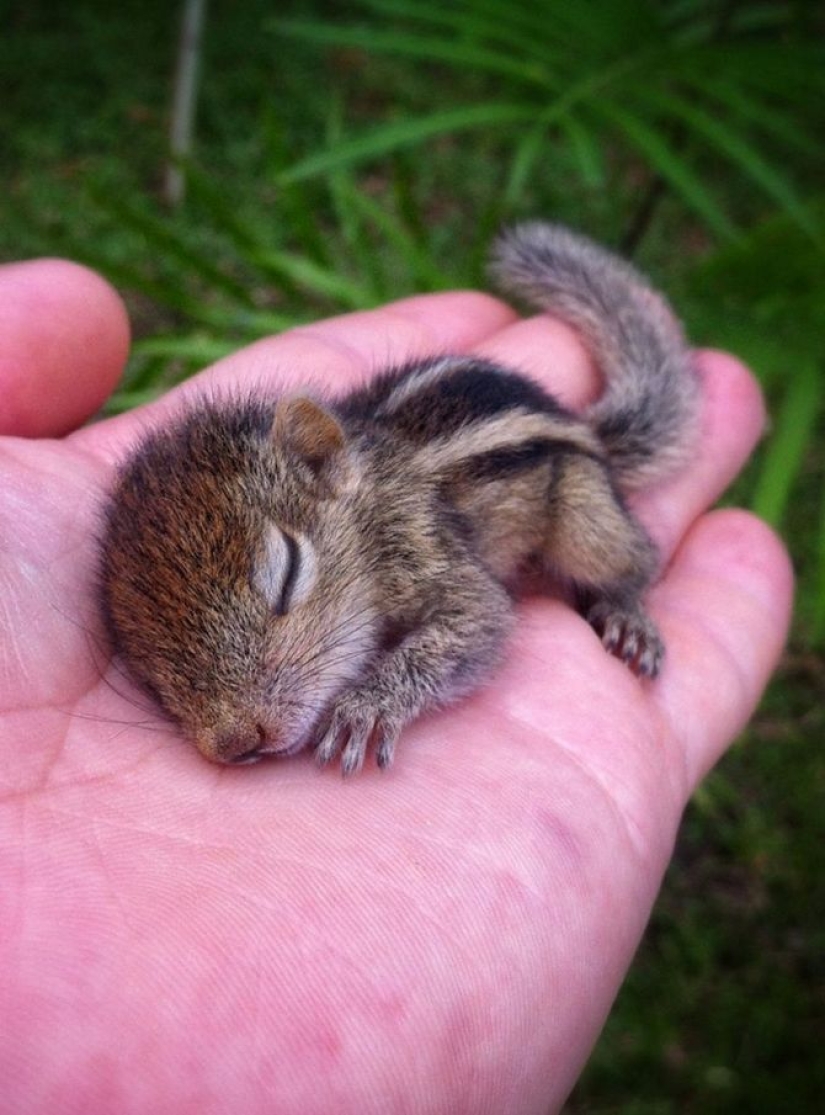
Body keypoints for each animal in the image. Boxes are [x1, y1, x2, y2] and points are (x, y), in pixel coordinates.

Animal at [99, 221, 700, 771]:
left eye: (288, 574)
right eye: (146, 668)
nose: (234, 743)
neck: (370, 505)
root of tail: (583, 426)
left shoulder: (427, 552)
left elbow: (478, 623)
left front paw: (366, 705)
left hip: (585, 515)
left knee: (633, 559)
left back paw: (627, 614)